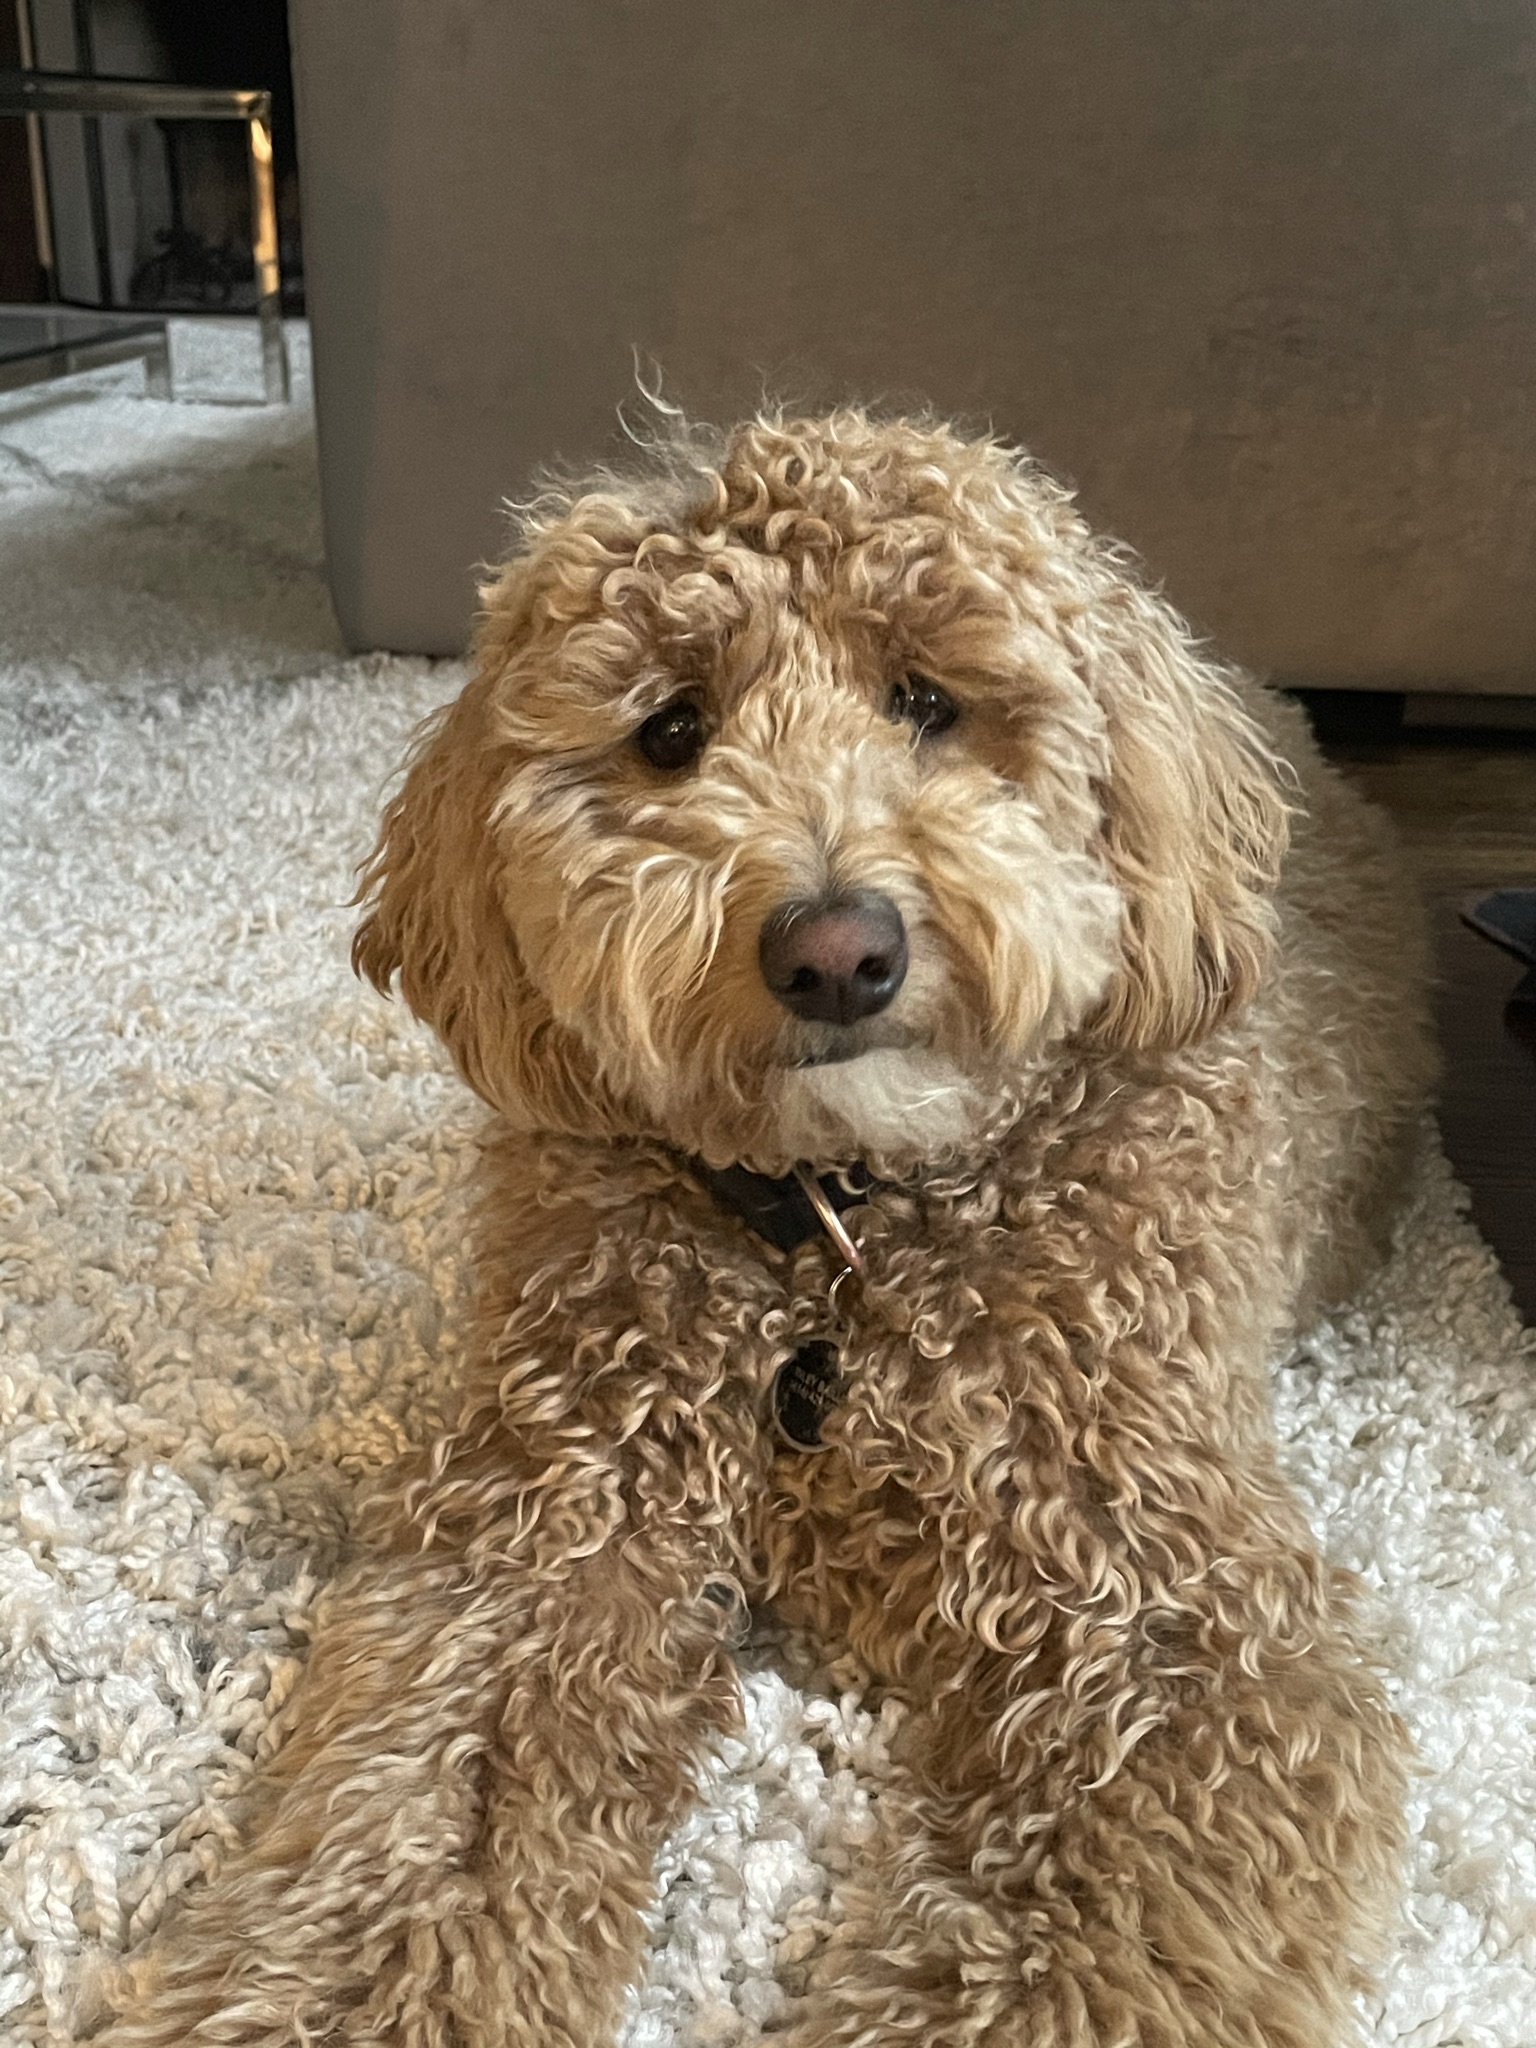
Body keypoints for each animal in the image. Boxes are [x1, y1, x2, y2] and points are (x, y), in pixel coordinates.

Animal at [103, 410, 1433, 2048]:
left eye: (929, 701)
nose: (835, 950)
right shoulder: (548, 1533)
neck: (835, 1226)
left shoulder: (1177, 1623)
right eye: (674, 729)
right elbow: (419, 1811)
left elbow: (1080, 1930)